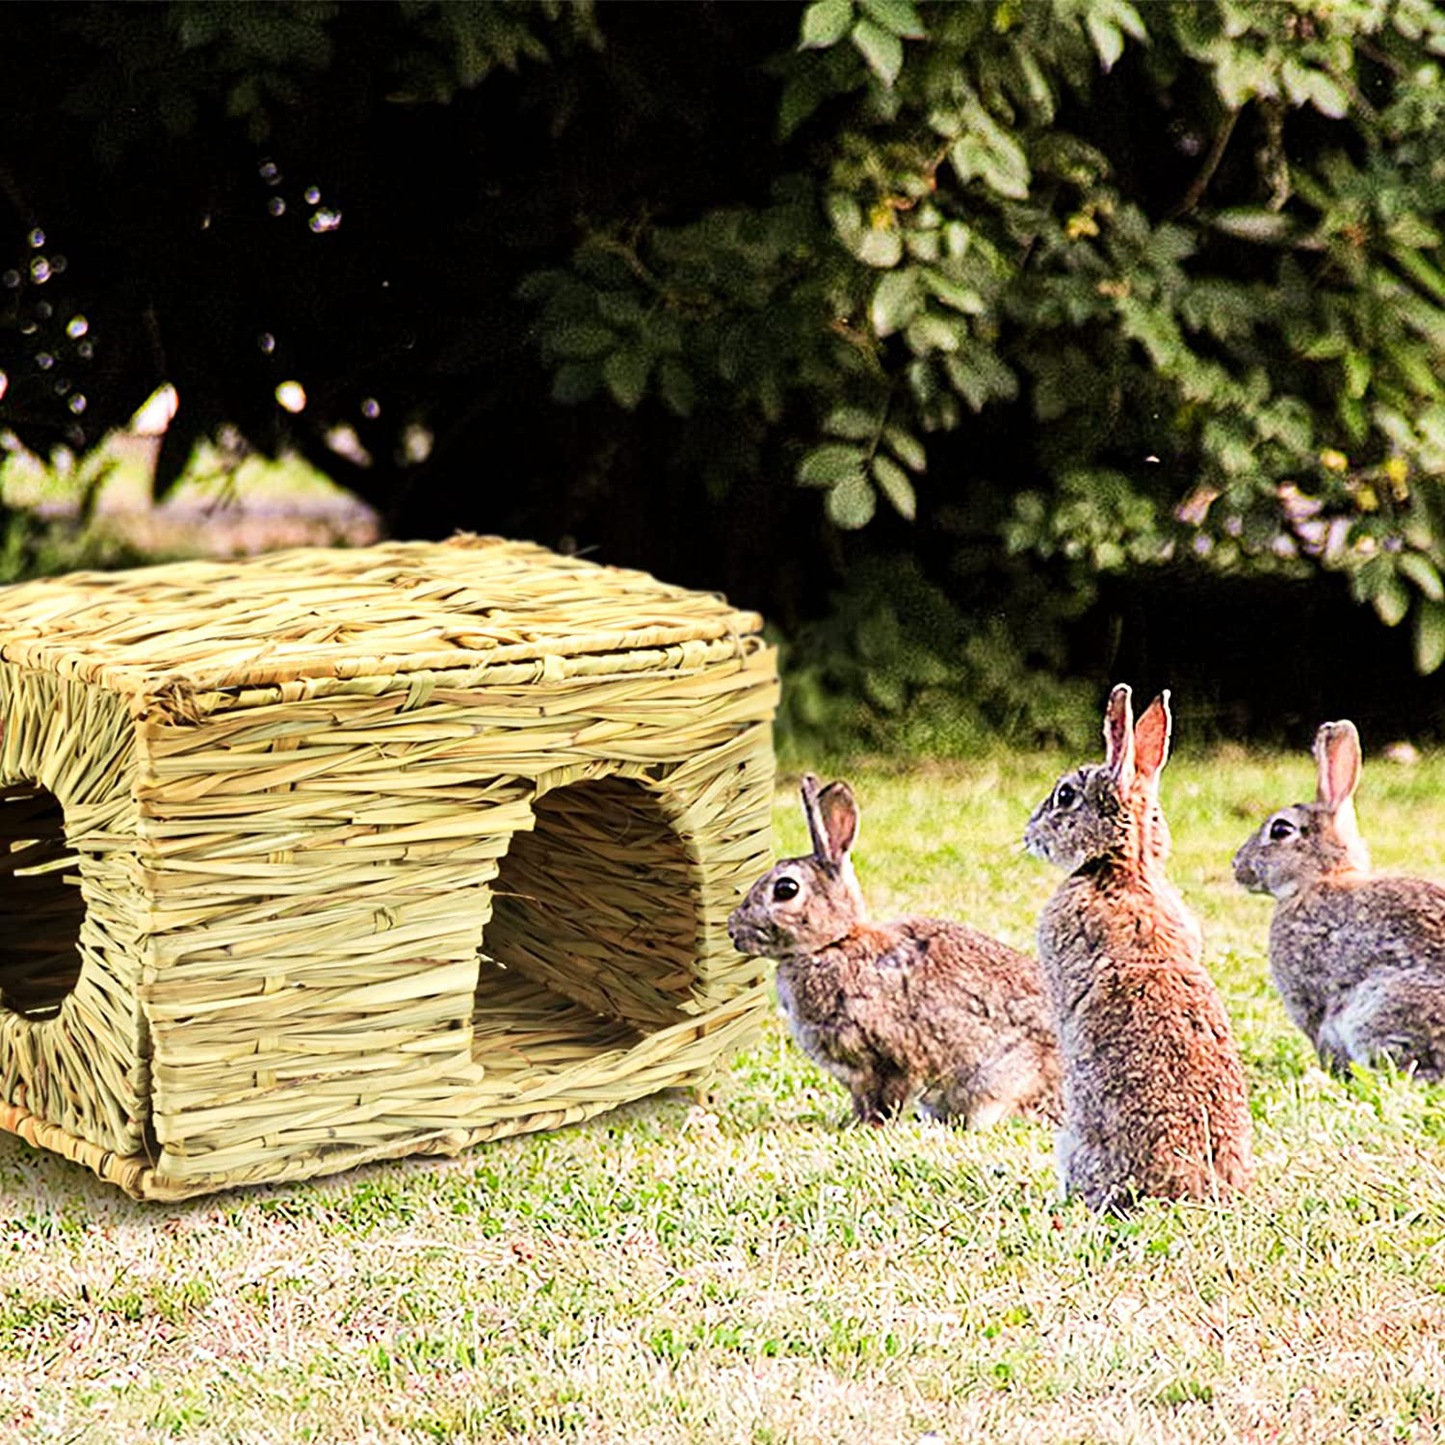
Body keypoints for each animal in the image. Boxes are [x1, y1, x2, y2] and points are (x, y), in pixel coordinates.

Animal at [727, 774, 1061, 1129]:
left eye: (786, 889)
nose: (733, 930)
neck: (834, 943)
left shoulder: (888, 1057)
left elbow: (886, 1097)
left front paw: (868, 1126)